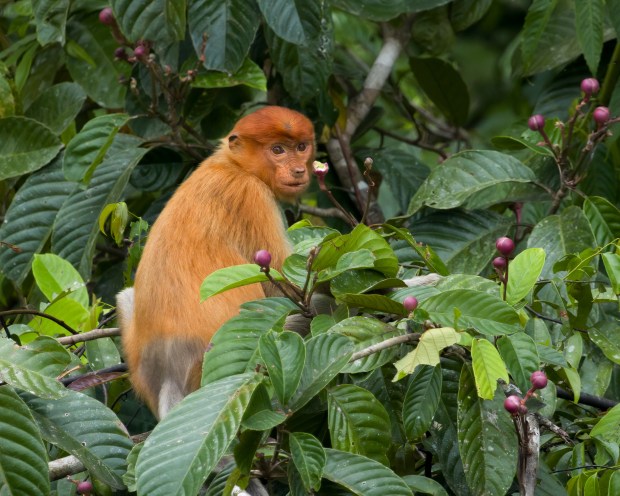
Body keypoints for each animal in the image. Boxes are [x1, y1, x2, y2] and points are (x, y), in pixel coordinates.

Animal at [117, 104, 314, 418]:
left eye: (301, 147)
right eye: (278, 149)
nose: (298, 170)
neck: (234, 164)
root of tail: (169, 375)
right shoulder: (252, 196)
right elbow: (286, 286)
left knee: (125, 297)